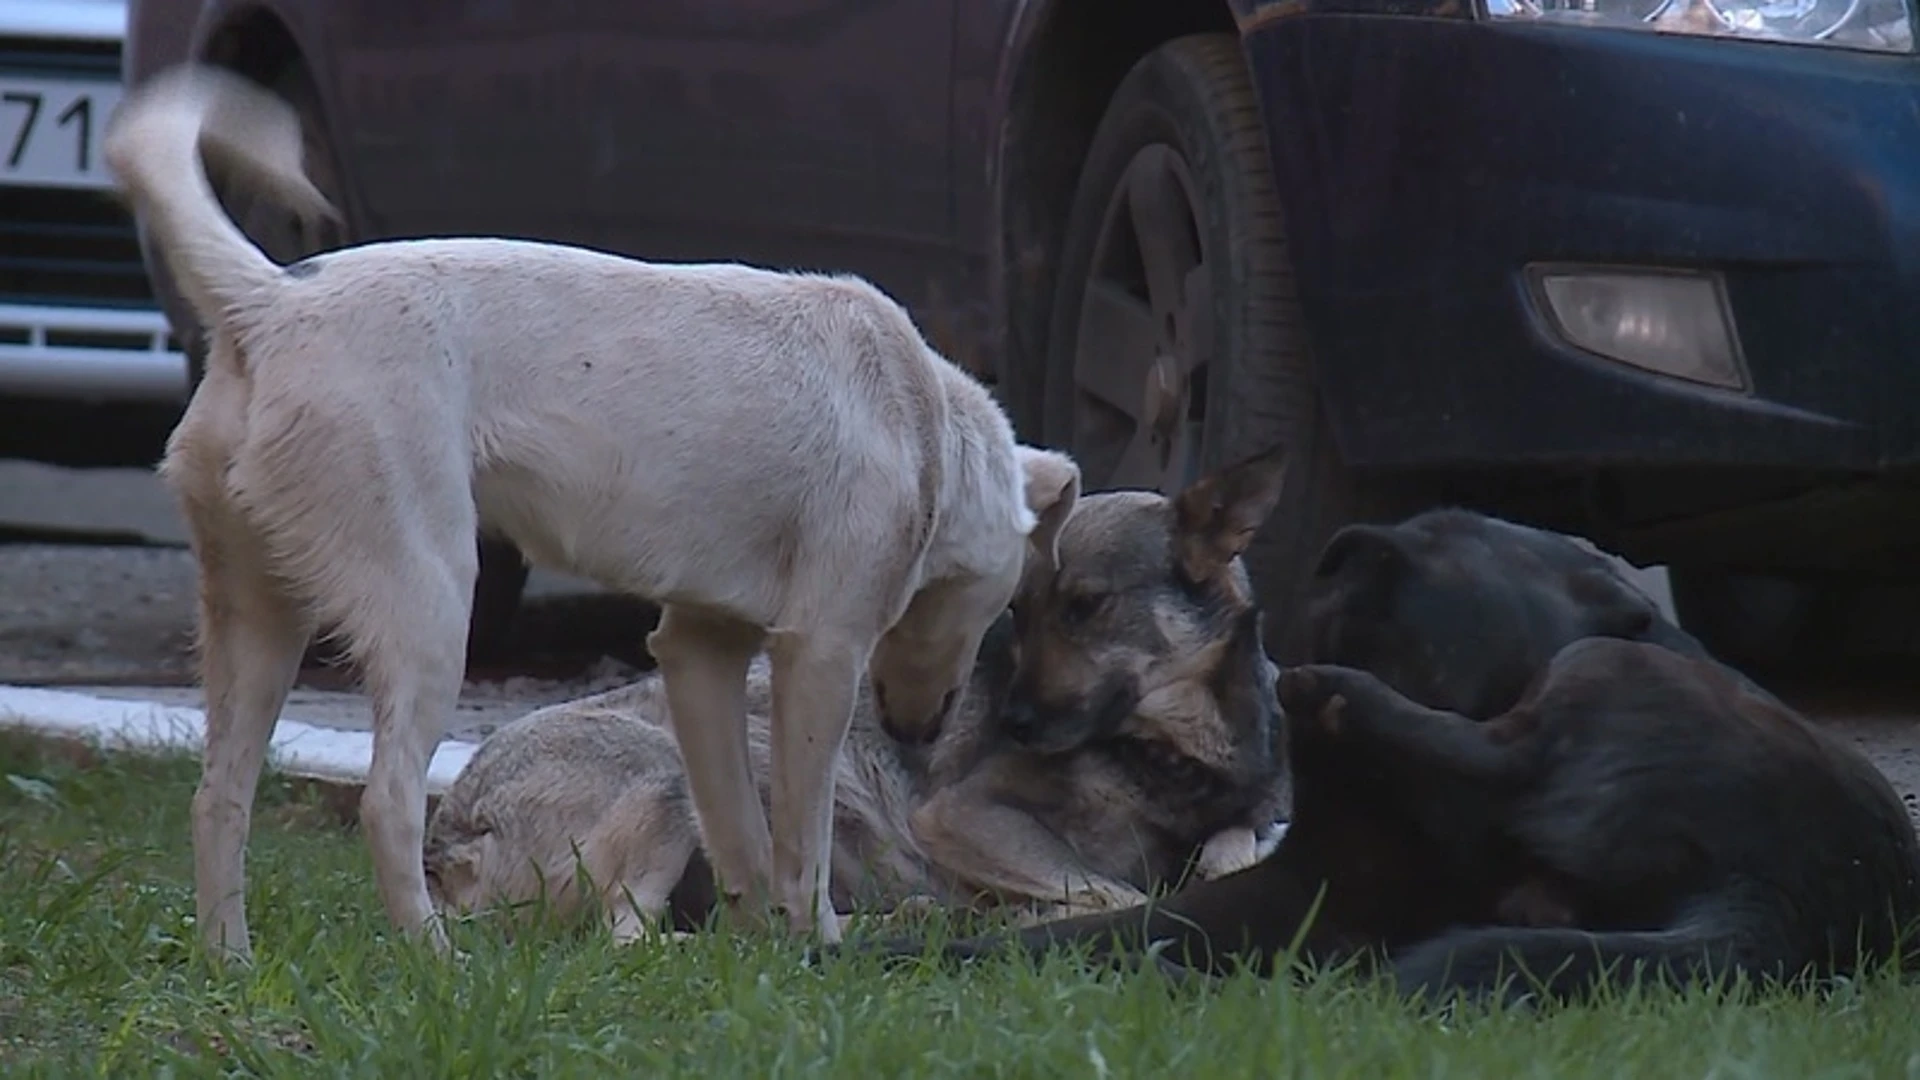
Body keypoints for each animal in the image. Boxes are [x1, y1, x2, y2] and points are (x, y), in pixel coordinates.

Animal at [105, 65, 1082, 957]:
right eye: (999, 608)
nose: (920, 732)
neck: (923, 422)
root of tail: (273, 299)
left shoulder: (698, 653)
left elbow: (741, 834)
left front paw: (758, 947)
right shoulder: (823, 653)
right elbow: (799, 844)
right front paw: (821, 946)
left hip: (258, 618)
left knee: (218, 797)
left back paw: (229, 960)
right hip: (430, 605)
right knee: (388, 803)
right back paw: (436, 960)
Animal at [420, 451, 1290, 933]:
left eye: (1084, 607)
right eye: (1019, 612)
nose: (1007, 719)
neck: (1170, 750)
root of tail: (449, 838)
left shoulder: (1238, 812)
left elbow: (1230, 849)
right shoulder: (962, 813)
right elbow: (1114, 892)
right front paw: (1035, 910)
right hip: (670, 778)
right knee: (639, 939)